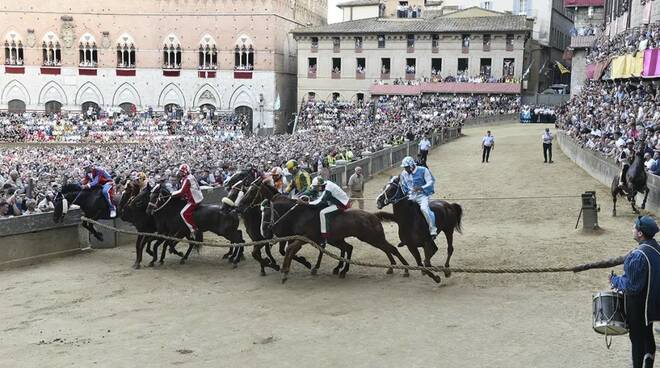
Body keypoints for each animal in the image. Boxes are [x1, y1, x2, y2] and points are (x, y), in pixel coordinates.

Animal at [262, 194, 412, 284]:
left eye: (267, 213)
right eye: (261, 213)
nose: (264, 231)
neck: (300, 215)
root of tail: (373, 215)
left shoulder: (305, 238)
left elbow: (289, 249)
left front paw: (285, 272)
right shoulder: (297, 237)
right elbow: (290, 250)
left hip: (372, 237)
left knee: (390, 248)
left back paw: (405, 269)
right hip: (353, 238)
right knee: (359, 248)